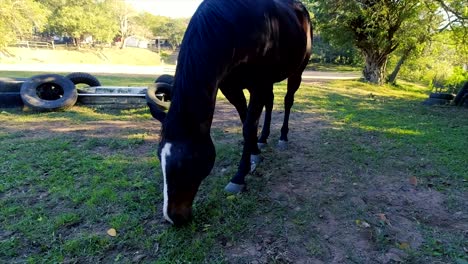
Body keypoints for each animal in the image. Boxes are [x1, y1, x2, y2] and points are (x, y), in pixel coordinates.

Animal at [148, 0, 312, 226]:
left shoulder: (258, 84)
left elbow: (248, 126)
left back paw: (283, 137)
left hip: (297, 71)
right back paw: (263, 139)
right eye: (159, 157)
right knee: (270, 103)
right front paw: (255, 152)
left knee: (287, 102)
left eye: (188, 162)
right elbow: (246, 122)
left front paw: (239, 177)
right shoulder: (231, 87)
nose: (174, 218)